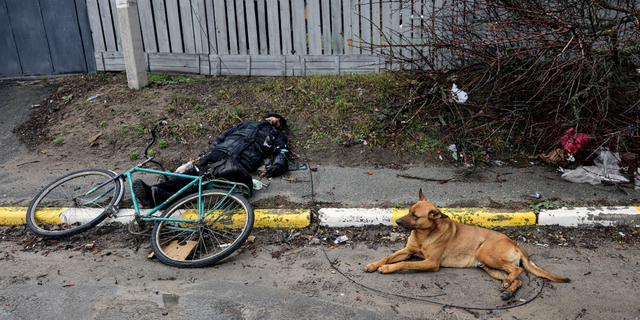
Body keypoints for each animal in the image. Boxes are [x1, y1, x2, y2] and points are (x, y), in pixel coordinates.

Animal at [364, 189, 568, 298]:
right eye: (409, 211)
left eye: (415, 215)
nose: (397, 222)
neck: (423, 235)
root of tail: (516, 244)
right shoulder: (407, 250)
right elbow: (387, 256)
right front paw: (374, 264)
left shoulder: (431, 263)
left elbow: (403, 263)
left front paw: (388, 269)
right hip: (489, 267)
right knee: (516, 278)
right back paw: (508, 289)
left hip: (485, 255)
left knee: (517, 270)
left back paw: (508, 286)